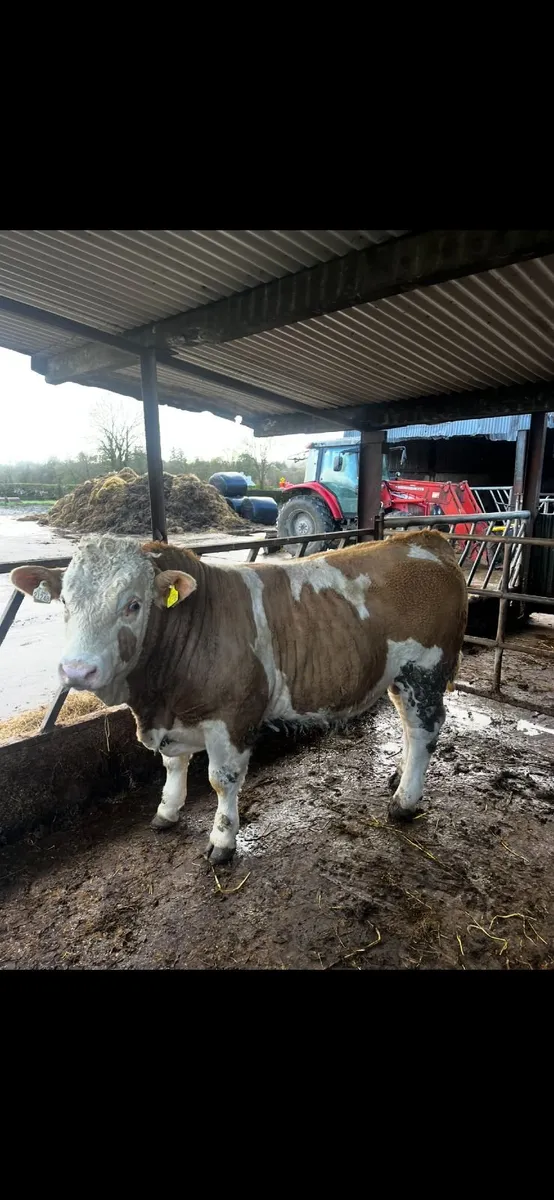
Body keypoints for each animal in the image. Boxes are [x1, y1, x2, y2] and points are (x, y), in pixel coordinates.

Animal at [11, 530, 467, 865]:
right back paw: (398, 776)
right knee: (408, 727)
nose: (76, 670)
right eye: (65, 601)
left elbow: (221, 780)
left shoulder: (232, 717)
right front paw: (167, 811)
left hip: (425, 671)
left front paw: (221, 842)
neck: (158, 698)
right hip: (397, 677)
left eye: (133, 605)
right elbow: (172, 765)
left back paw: (404, 801)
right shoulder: (177, 716)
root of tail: (424, 538)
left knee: (425, 730)